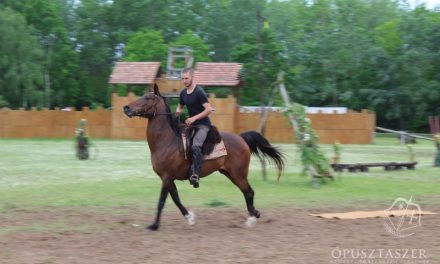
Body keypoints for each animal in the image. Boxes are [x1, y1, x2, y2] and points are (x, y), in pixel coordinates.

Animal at [123, 87, 286, 231]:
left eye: (147, 98)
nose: (126, 107)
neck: (167, 141)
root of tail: (241, 138)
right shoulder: (168, 179)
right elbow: (176, 199)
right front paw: (189, 217)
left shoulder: (166, 177)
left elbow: (162, 202)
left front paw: (154, 226)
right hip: (230, 174)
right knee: (247, 192)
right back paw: (255, 214)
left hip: (238, 174)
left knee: (249, 192)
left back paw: (251, 219)